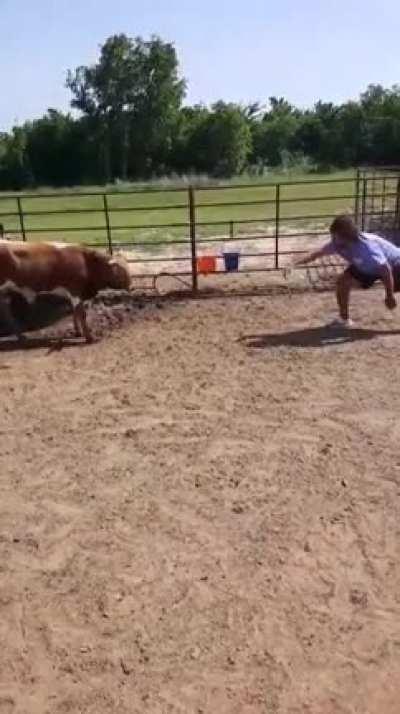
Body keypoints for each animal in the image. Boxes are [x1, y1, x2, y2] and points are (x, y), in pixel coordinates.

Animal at [0, 241, 131, 343]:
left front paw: (78, 332)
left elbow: (75, 311)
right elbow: (81, 314)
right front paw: (89, 338)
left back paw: (21, 336)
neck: (86, 261)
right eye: (120, 270)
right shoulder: (75, 290)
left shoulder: (74, 293)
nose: (129, 283)